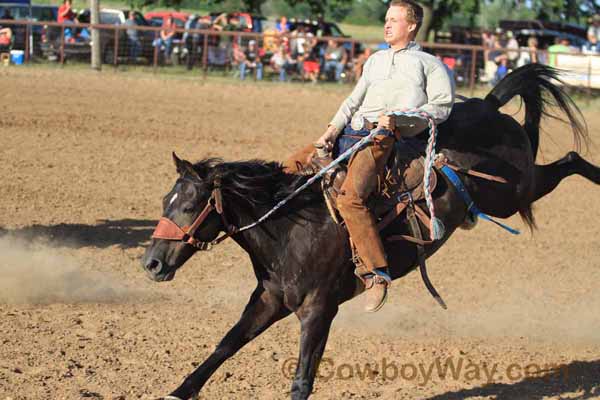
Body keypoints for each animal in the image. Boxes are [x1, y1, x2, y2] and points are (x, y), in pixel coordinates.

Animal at [142, 64, 600, 398]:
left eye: (188, 206)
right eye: (165, 201)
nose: (150, 263)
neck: (291, 229)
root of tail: (487, 106)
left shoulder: (319, 310)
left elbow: (302, 379)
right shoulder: (269, 299)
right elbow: (225, 344)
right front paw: (179, 391)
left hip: (513, 192)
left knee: (571, 159)